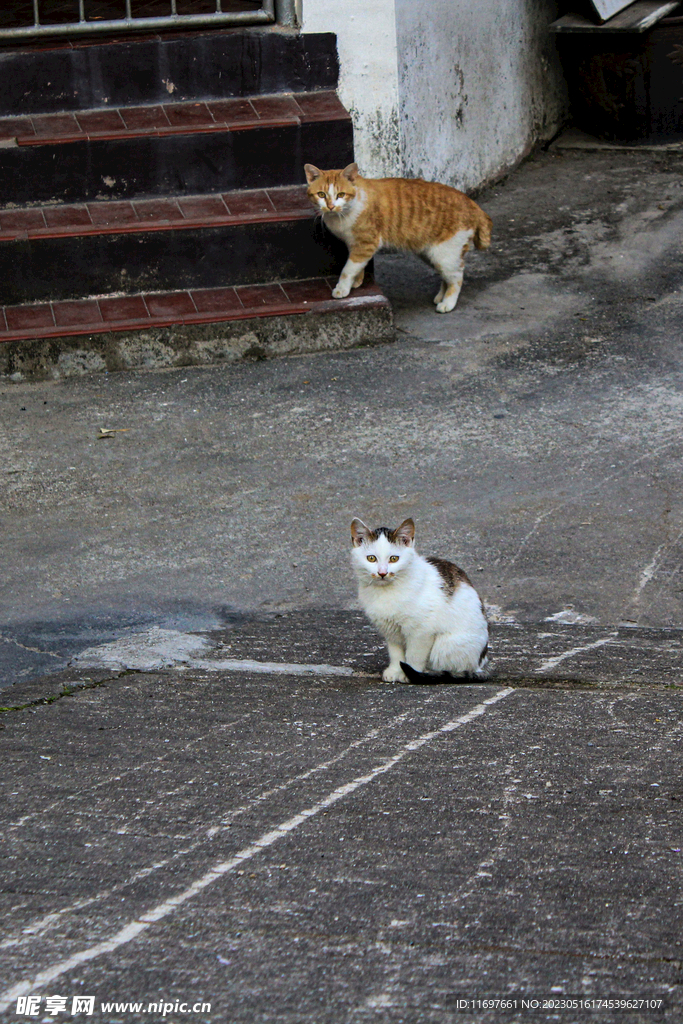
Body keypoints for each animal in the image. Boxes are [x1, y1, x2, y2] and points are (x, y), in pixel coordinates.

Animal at [305, 161, 491, 313]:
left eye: (341, 195)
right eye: (321, 195)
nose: (330, 206)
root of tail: (472, 203)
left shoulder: (366, 244)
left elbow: (348, 269)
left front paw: (342, 288)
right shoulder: (355, 245)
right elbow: (356, 266)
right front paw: (357, 281)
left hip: (445, 254)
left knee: (456, 277)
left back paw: (447, 303)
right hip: (431, 255)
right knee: (447, 276)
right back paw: (441, 296)